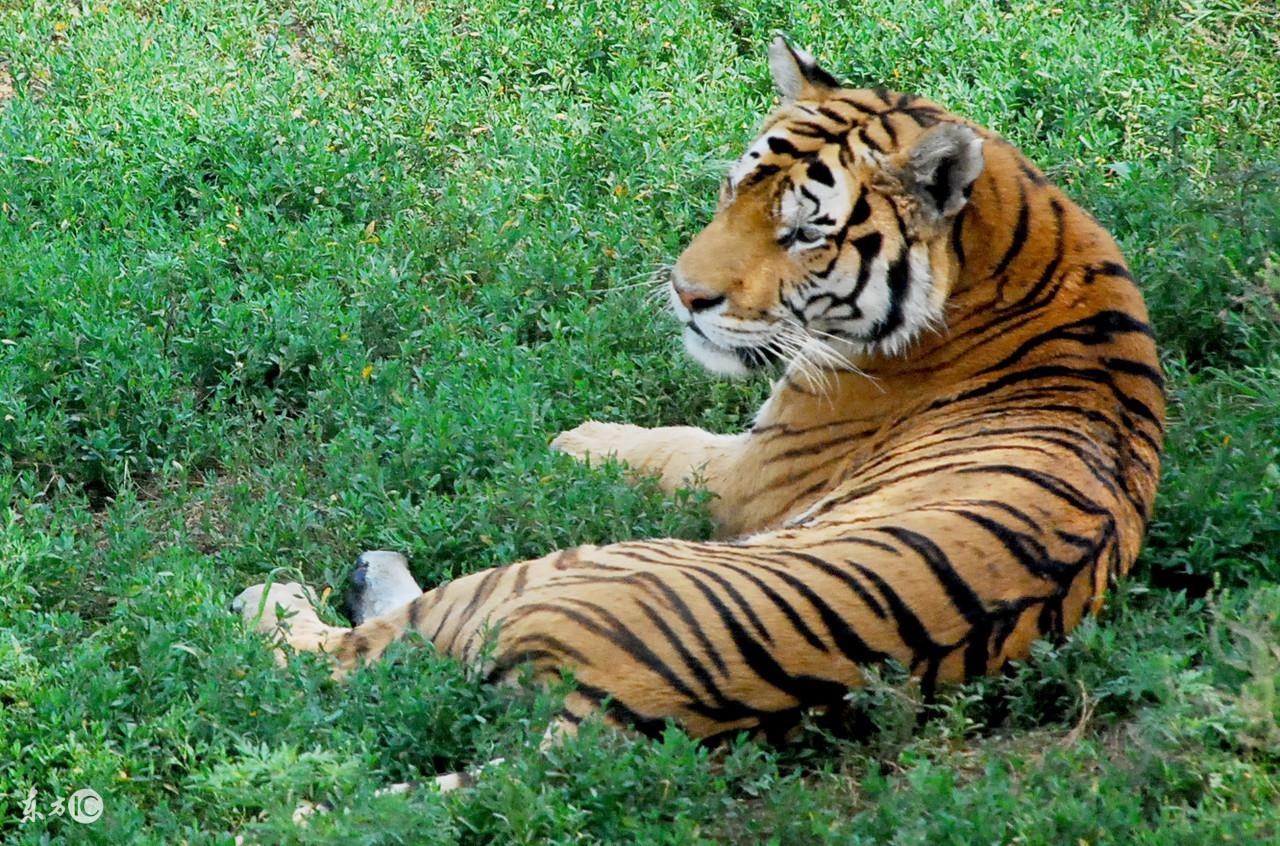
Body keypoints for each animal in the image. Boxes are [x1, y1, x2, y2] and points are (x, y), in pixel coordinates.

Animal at [232, 39, 1172, 767]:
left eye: (805, 231)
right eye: (733, 191)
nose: (686, 295)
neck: (1019, 242)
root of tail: (627, 720)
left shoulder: (754, 473)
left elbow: (668, 443)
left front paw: (575, 438)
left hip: (545, 575)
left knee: (335, 655)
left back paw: (289, 592)